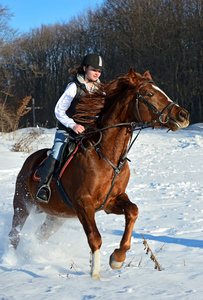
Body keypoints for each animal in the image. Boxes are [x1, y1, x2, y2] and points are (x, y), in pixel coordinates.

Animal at [7, 68, 189, 278]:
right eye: (149, 94)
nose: (183, 115)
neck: (108, 156)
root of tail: (29, 161)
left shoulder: (111, 201)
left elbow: (133, 211)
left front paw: (117, 258)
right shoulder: (83, 204)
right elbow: (95, 237)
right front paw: (95, 276)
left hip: (56, 217)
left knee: (39, 235)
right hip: (22, 204)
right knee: (14, 234)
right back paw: (10, 260)